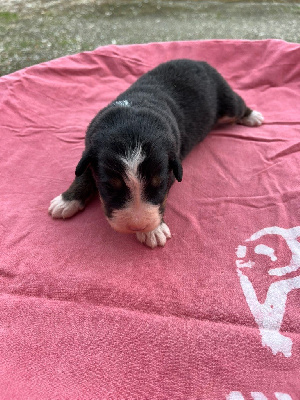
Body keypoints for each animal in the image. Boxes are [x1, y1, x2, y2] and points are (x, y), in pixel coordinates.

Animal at [48, 59, 262, 247]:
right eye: (109, 187)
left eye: (159, 185)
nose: (137, 226)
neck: (132, 116)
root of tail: (199, 61)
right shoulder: (89, 152)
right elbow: (83, 174)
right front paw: (66, 201)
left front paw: (153, 231)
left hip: (226, 100)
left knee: (239, 104)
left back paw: (253, 117)